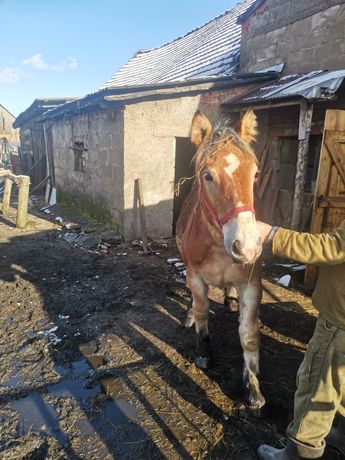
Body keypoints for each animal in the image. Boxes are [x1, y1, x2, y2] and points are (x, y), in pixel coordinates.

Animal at [176, 109, 264, 408]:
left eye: (255, 174)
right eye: (208, 176)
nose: (246, 247)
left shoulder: (252, 284)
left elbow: (248, 336)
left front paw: (253, 389)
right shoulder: (195, 277)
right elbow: (202, 310)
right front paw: (204, 353)